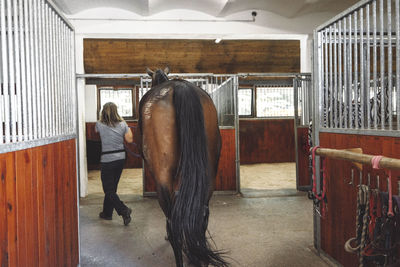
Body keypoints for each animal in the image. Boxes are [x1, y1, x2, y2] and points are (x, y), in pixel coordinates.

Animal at [135, 67, 227, 267]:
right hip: (207, 177)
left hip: (163, 179)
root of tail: (179, 88)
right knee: (201, 216)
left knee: (173, 222)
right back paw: (199, 257)